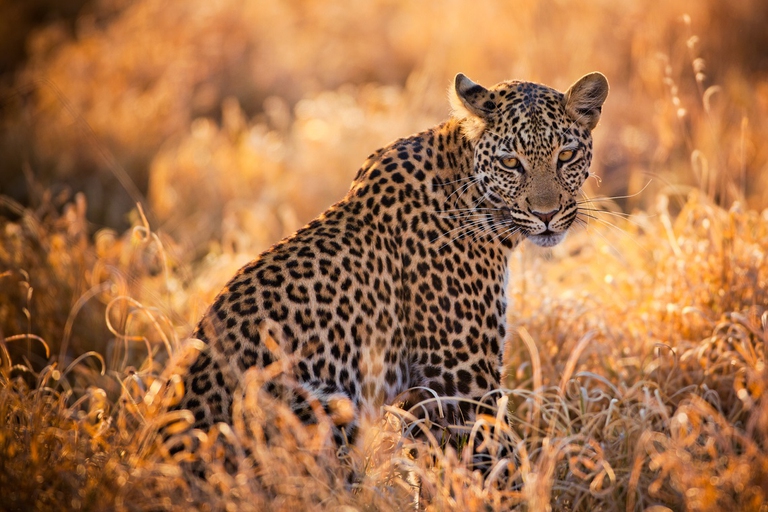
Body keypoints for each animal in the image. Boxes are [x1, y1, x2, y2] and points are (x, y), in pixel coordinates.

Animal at [176, 72, 609, 449]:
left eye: (567, 155)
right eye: (510, 162)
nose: (546, 215)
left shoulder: (424, 393)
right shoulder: (462, 381)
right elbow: (495, 465)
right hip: (324, 406)